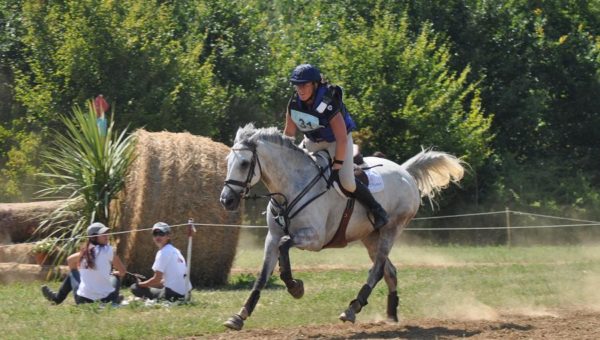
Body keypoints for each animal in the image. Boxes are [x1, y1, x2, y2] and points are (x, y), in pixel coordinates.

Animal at [219, 124, 464, 330]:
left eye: (244, 163)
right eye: (228, 161)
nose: (226, 200)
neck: (290, 188)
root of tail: (404, 172)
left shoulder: (314, 238)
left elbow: (285, 245)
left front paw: (295, 286)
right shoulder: (272, 236)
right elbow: (263, 274)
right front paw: (239, 316)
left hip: (391, 230)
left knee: (377, 270)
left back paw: (353, 308)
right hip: (370, 237)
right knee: (390, 271)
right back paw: (391, 315)